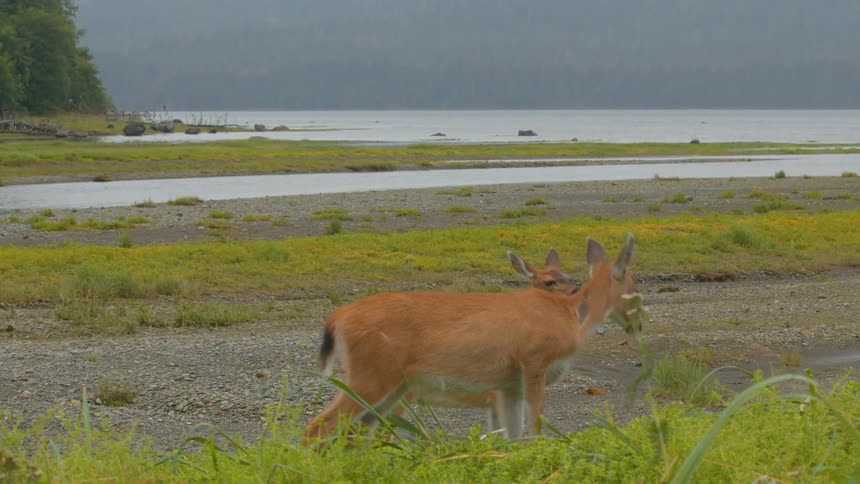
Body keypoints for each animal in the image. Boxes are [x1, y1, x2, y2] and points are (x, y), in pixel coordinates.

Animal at [306, 234, 638, 443]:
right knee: (319, 428)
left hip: (390, 387)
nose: (574, 289)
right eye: (549, 282)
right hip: (374, 376)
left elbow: (511, 437)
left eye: (570, 276)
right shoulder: (531, 363)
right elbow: (533, 427)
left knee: (355, 433)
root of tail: (337, 317)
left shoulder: (505, 388)